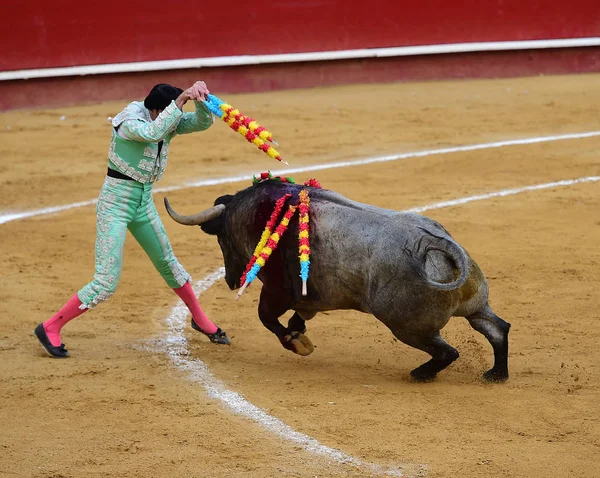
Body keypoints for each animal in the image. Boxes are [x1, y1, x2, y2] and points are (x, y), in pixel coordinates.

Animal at [164, 181, 510, 382]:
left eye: (221, 238)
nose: (231, 280)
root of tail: (437, 243)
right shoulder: (308, 297)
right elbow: (296, 316)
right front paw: (298, 332)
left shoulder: (276, 291)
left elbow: (267, 319)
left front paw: (298, 343)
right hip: (475, 305)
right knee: (496, 329)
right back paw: (496, 374)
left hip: (408, 327)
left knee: (448, 352)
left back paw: (420, 374)